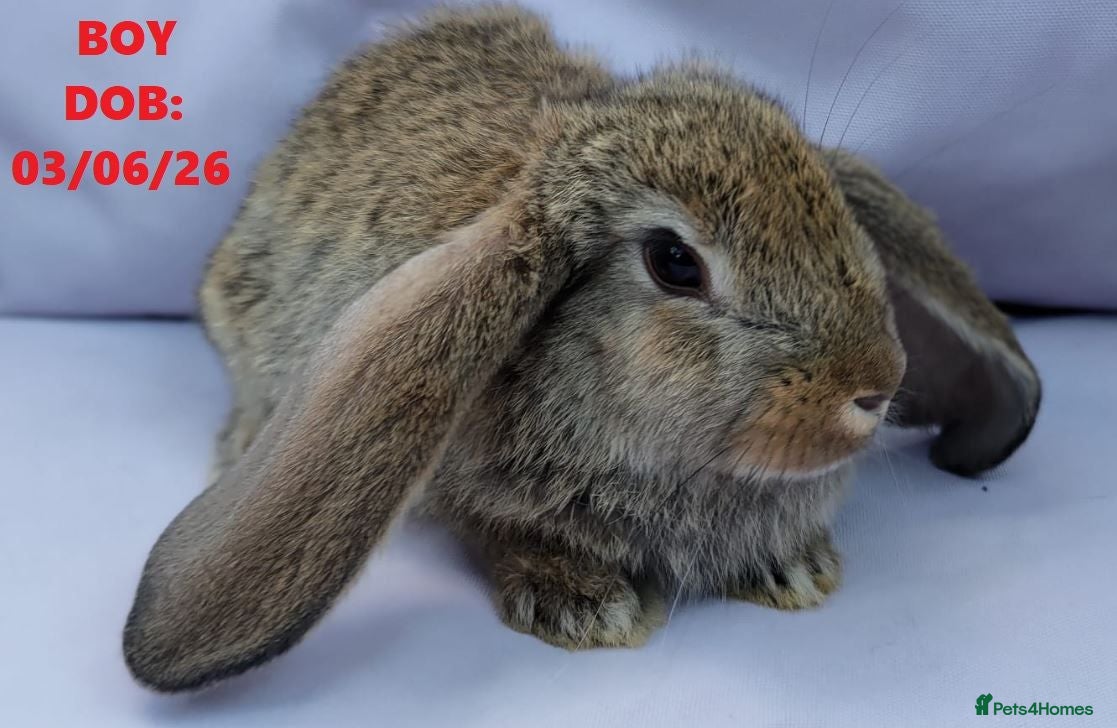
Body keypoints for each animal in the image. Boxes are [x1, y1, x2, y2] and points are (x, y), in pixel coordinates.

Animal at [123, 4, 1041, 692]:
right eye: (674, 262)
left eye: (833, 210)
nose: (874, 385)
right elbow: (497, 530)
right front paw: (584, 606)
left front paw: (793, 571)